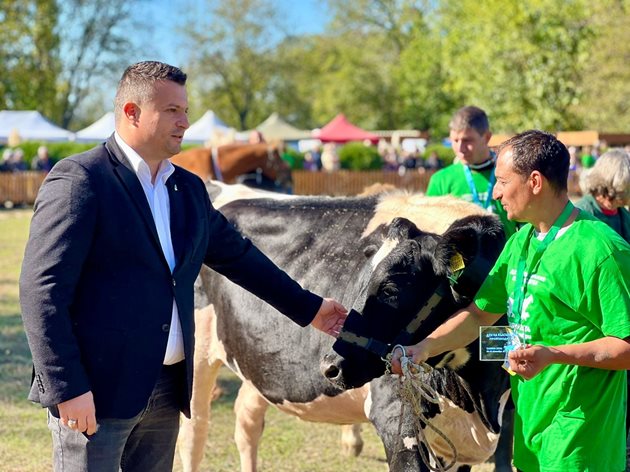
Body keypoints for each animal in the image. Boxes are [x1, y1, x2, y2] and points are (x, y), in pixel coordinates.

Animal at [179, 183, 512, 472]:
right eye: (363, 281)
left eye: (390, 289)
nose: (329, 366)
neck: (477, 399)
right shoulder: (395, 415)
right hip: (195, 358)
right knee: (193, 433)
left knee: (247, 422)